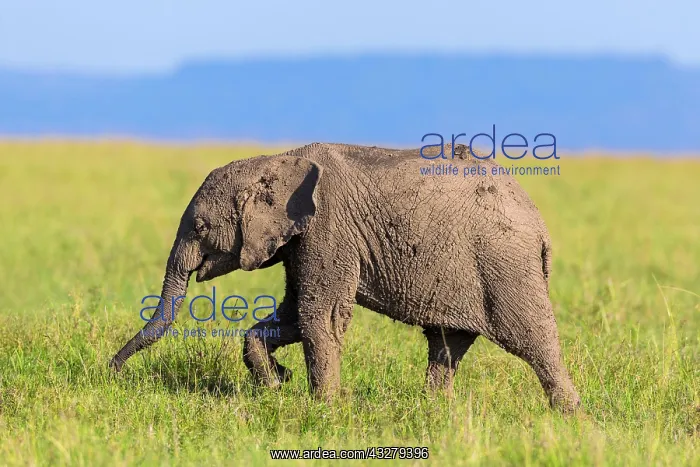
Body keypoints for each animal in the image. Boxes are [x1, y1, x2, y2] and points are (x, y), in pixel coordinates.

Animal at [110, 142, 581, 413]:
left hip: (505, 265)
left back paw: (569, 414)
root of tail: (541, 228)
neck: (276, 161)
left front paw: (322, 408)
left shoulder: (327, 228)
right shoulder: (300, 237)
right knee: (448, 343)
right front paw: (277, 385)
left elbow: (320, 315)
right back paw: (434, 412)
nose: (112, 372)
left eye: (201, 227)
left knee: (533, 338)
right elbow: (293, 314)